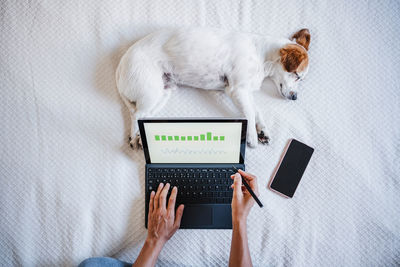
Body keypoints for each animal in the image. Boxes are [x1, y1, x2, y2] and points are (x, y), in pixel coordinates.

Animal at [114, 28, 310, 150]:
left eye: (301, 78)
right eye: (297, 75)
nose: (295, 98)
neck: (260, 55)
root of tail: (120, 66)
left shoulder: (245, 91)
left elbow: (257, 111)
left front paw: (262, 130)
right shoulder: (237, 89)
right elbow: (249, 113)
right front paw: (253, 136)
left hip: (162, 93)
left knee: (141, 115)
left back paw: (140, 137)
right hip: (151, 92)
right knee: (136, 114)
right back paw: (134, 139)